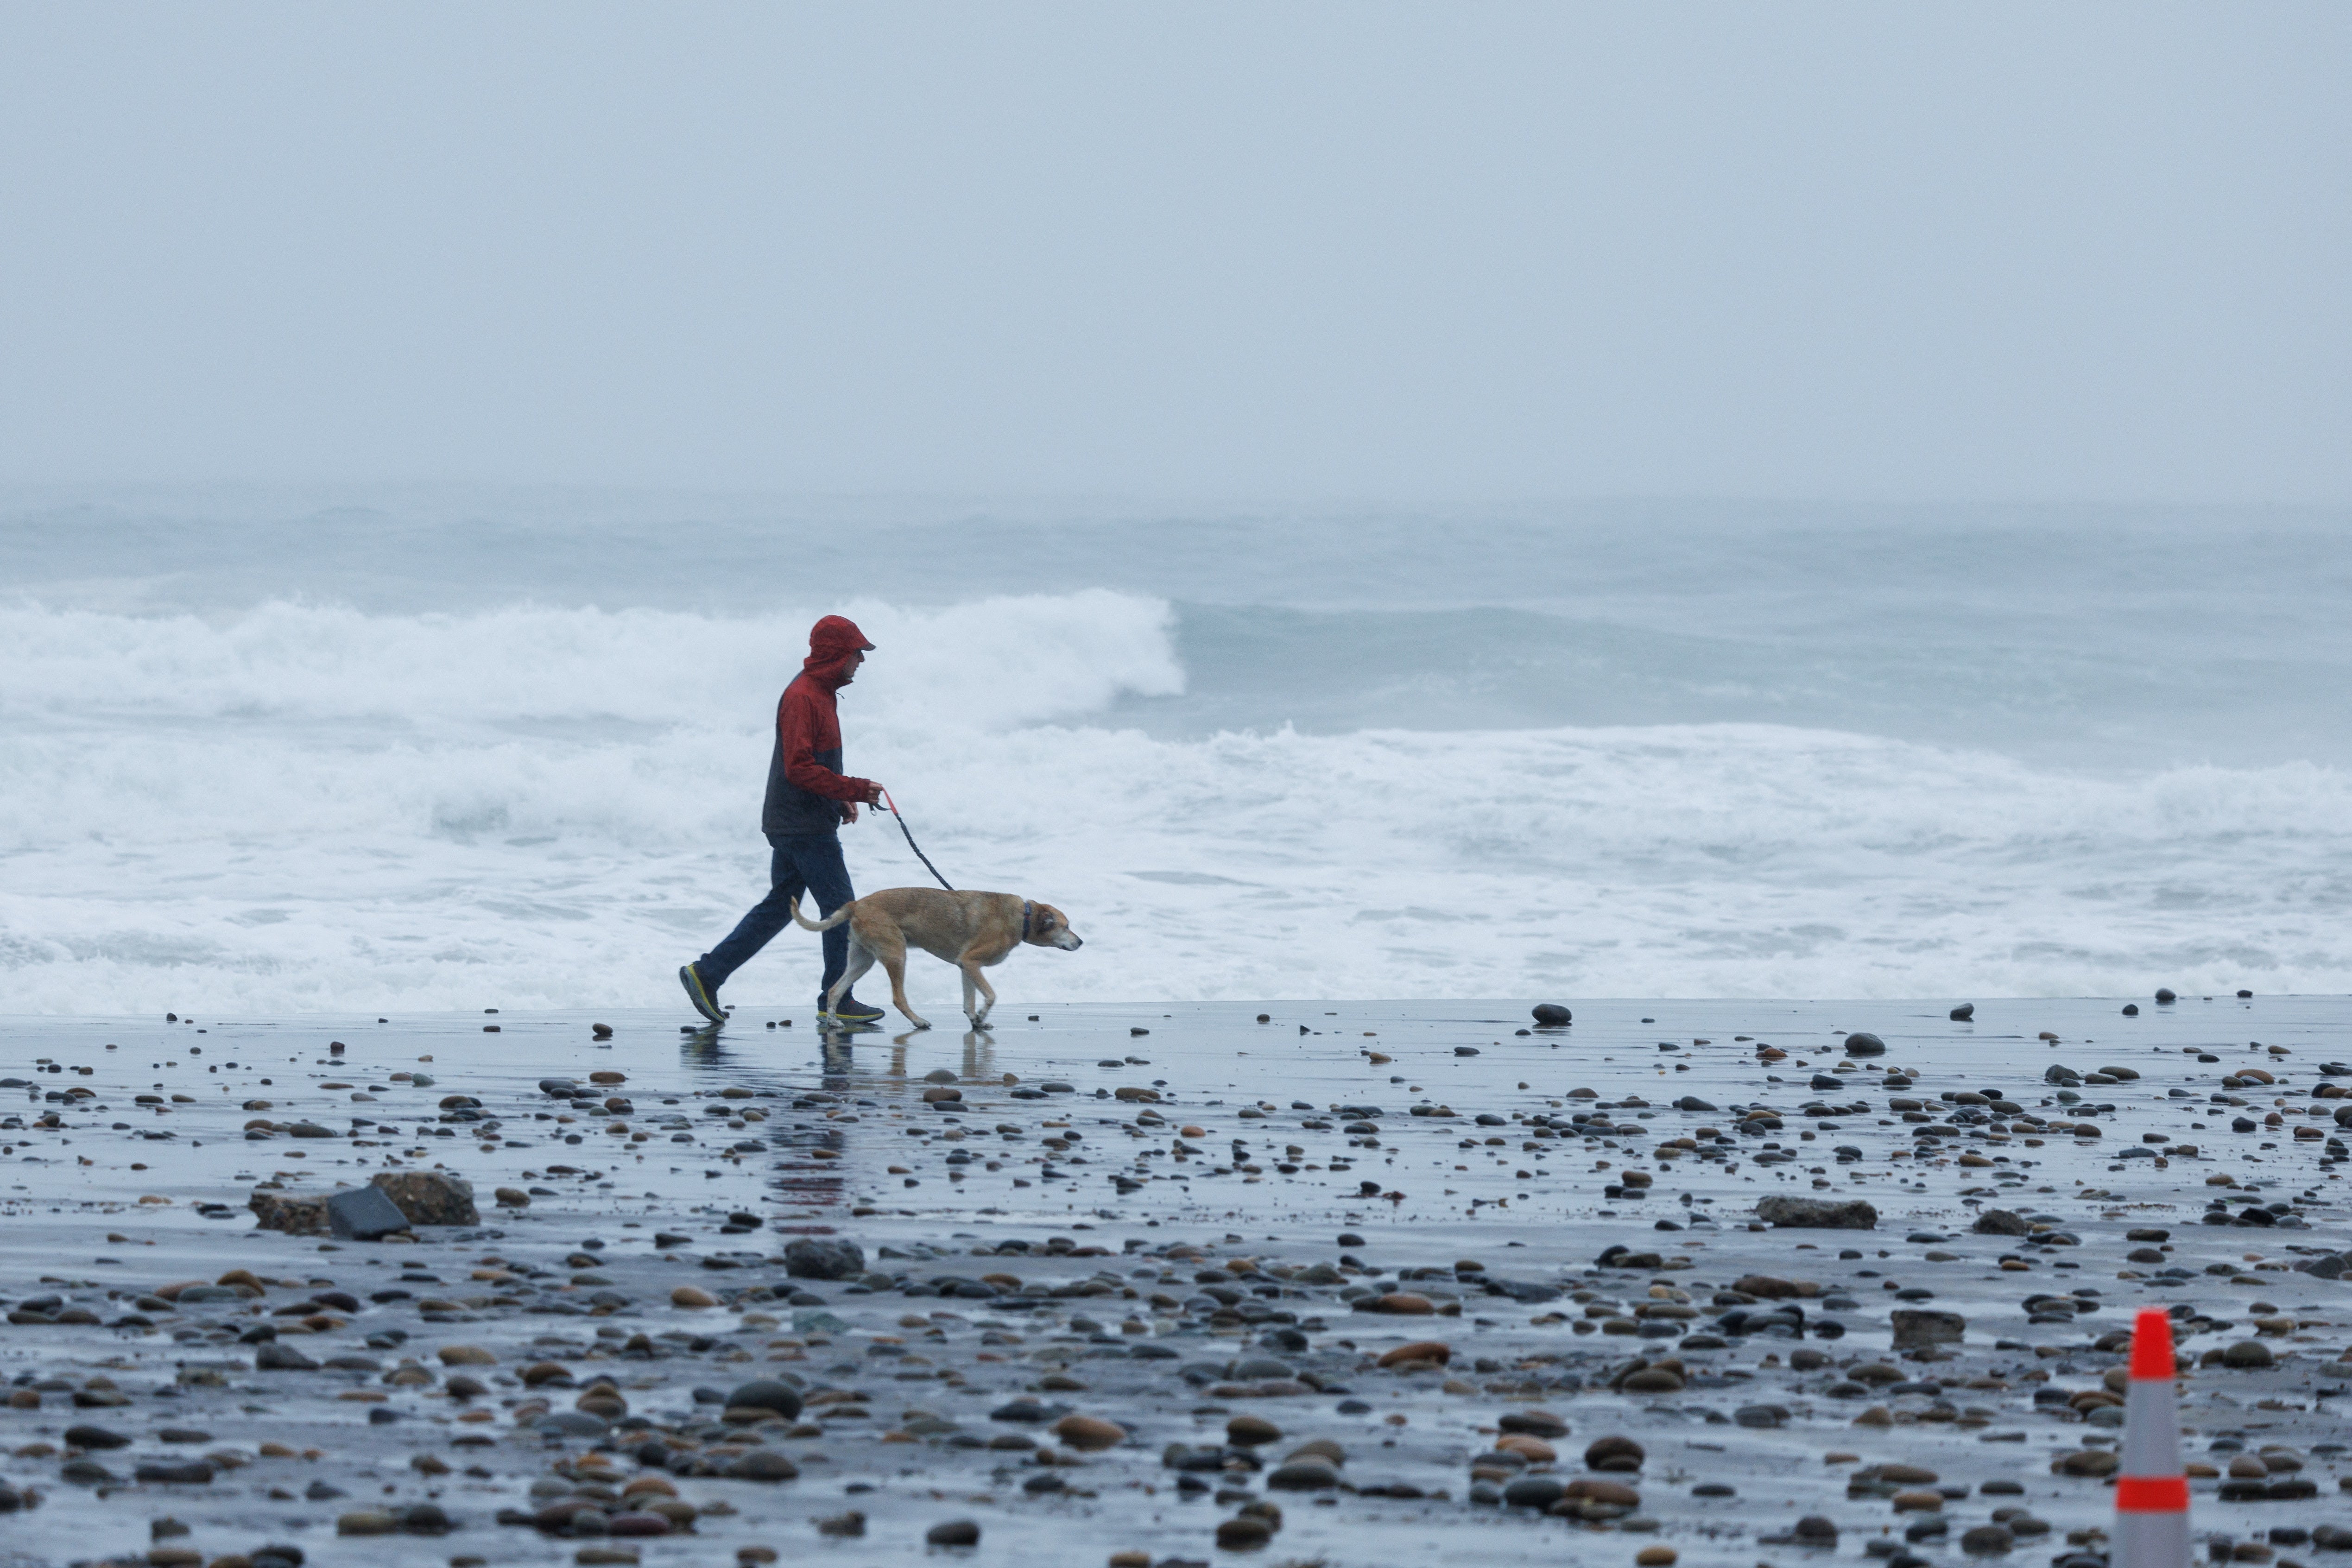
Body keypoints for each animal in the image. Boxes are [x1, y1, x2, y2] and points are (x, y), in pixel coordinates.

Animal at [790, 888, 1081, 1034]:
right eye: (1066, 926)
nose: (1080, 942)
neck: (1023, 918)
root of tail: (856, 904)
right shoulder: (972, 963)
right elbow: (990, 996)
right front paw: (982, 1016)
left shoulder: (966, 967)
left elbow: (969, 1002)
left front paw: (976, 1022)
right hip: (896, 954)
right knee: (898, 998)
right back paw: (918, 1022)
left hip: (863, 961)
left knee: (835, 990)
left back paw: (833, 1022)